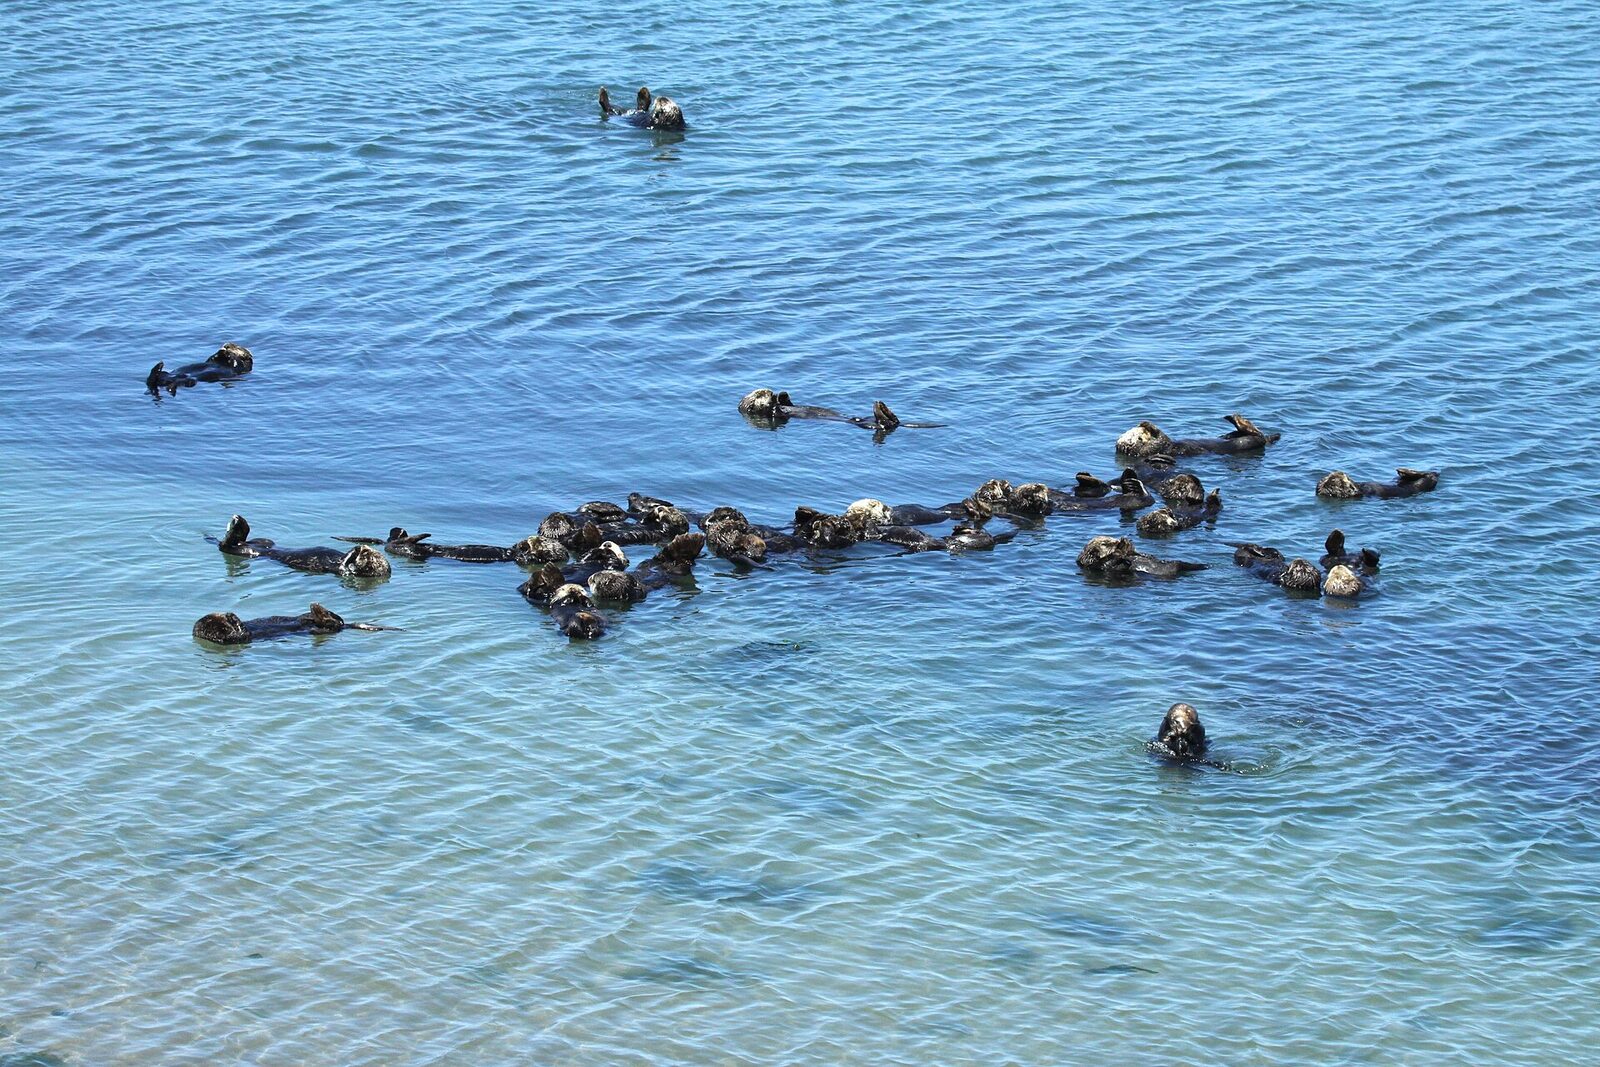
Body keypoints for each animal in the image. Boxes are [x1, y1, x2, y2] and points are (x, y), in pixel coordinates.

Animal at [215, 515, 391, 579]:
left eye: (366, 555)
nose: (360, 548)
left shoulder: (345, 570)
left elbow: (346, 566)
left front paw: (351, 554)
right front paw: (353, 550)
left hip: (247, 551)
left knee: (225, 545)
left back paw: (237, 525)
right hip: (264, 542)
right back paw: (241, 524)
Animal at [1115, 414, 1280, 458]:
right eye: (1136, 435)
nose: (1140, 427)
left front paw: (1144, 422)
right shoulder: (1156, 447)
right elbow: (1160, 437)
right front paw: (1148, 425)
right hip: (1250, 442)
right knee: (1257, 434)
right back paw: (1234, 418)